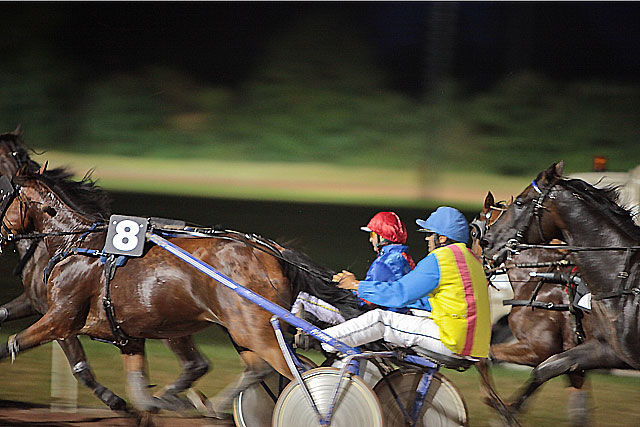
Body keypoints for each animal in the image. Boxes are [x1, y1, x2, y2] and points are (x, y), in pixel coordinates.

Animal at [0, 146, 360, 418]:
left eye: (1, 192)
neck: (77, 243)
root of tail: (271, 251)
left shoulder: (61, 317)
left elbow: (13, 343)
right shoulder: (127, 335)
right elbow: (141, 394)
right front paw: (159, 402)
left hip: (252, 331)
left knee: (297, 371)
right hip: (244, 331)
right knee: (263, 369)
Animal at [470, 192, 596, 426]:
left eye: (474, 232)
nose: (476, 268)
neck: (540, 278)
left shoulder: (541, 349)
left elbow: (486, 358)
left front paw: (501, 408)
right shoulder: (572, 357)